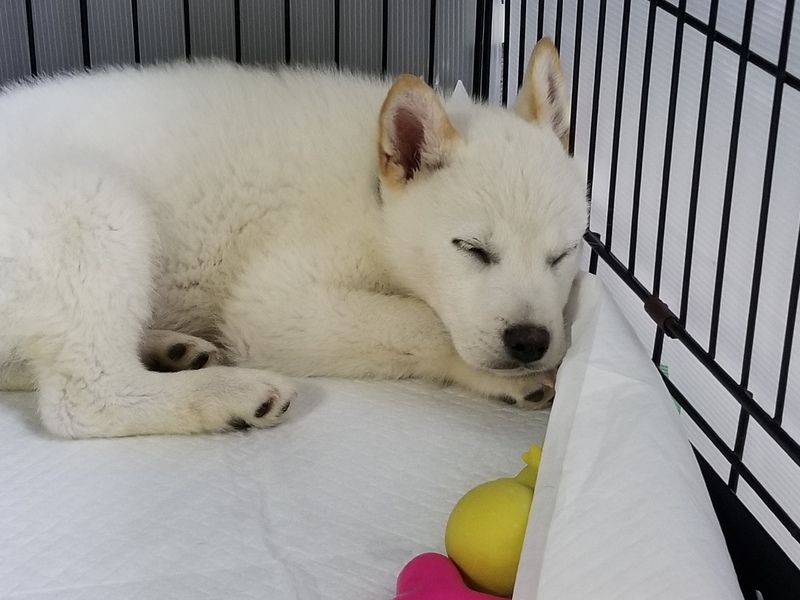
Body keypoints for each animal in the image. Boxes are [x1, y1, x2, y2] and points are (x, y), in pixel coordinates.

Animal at [0, 38, 588, 438]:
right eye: (471, 249)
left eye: (562, 254)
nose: (531, 341)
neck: (372, 197)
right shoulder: (273, 304)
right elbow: (424, 323)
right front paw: (499, 375)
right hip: (94, 206)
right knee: (83, 397)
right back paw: (227, 393)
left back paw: (172, 348)